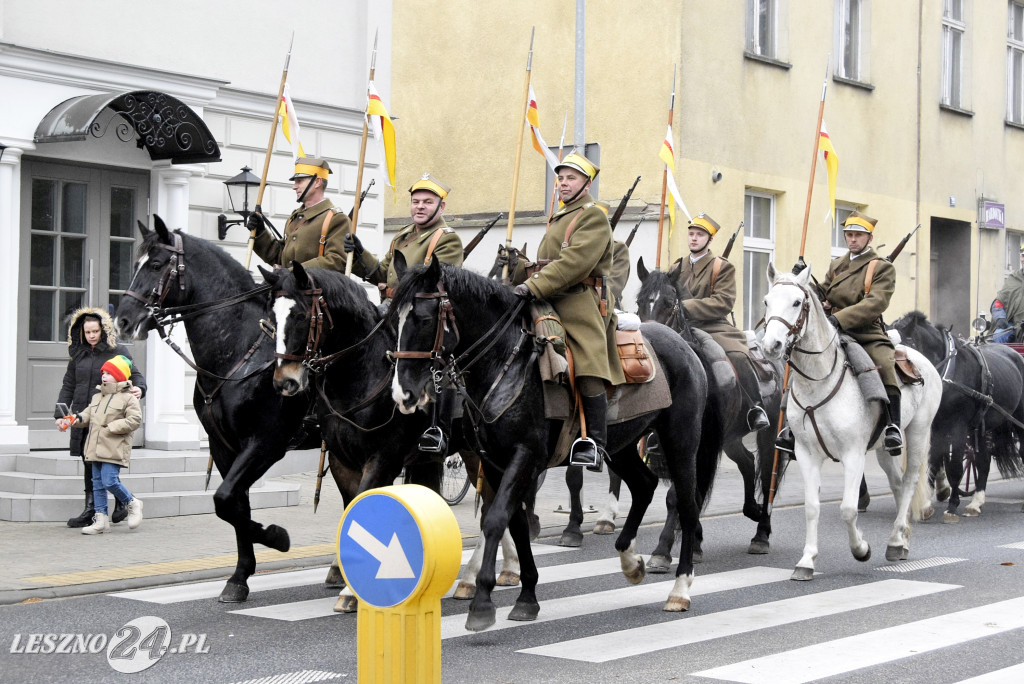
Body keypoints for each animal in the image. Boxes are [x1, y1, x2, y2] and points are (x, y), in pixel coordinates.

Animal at [114, 216, 303, 602]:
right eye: (137, 262)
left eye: (156, 264)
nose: (122, 321)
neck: (239, 351)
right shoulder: (224, 446)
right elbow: (233, 505)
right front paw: (239, 577)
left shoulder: (266, 443)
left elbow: (225, 500)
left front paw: (276, 536)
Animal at [387, 253, 724, 626]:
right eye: (392, 320)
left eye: (423, 318)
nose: (402, 394)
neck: (505, 362)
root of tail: (686, 345)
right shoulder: (494, 461)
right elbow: (516, 522)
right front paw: (525, 595)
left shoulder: (524, 455)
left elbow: (495, 518)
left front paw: (483, 602)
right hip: (621, 446)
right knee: (644, 484)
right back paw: (630, 560)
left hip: (680, 443)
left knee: (687, 504)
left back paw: (679, 588)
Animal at [634, 255, 786, 561]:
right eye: (639, 302)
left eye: (670, 303)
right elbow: (689, 491)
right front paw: (693, 541)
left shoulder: (696, 442)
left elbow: (679, 495)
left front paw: (663, 549)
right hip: (730, 437)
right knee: (747, 463)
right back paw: (748, 512)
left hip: (767, 433)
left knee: (766, 475)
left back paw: (761, 534)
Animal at [757, 262, 937, 577]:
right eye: (767, 301)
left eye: (797, 302)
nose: (771, 346)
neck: (818, 381)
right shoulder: (806, 454)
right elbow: (811, 507)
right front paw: (807, 561)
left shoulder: (853, 454)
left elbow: (848, 509)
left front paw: (861, 549)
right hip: (883, 448)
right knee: (897, 484)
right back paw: (898, 540)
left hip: (917, 432)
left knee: (910, 481)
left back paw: (896, 540)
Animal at [888, 309, 1024, 518]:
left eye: (904, 350)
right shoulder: (936, 426)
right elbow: (934, 461)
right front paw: (927, 504)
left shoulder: (957, 426)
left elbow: (954, 466)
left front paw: (952, 505)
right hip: (980, 426)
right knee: (982, 460)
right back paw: (976, 503)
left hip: (1018, 420)